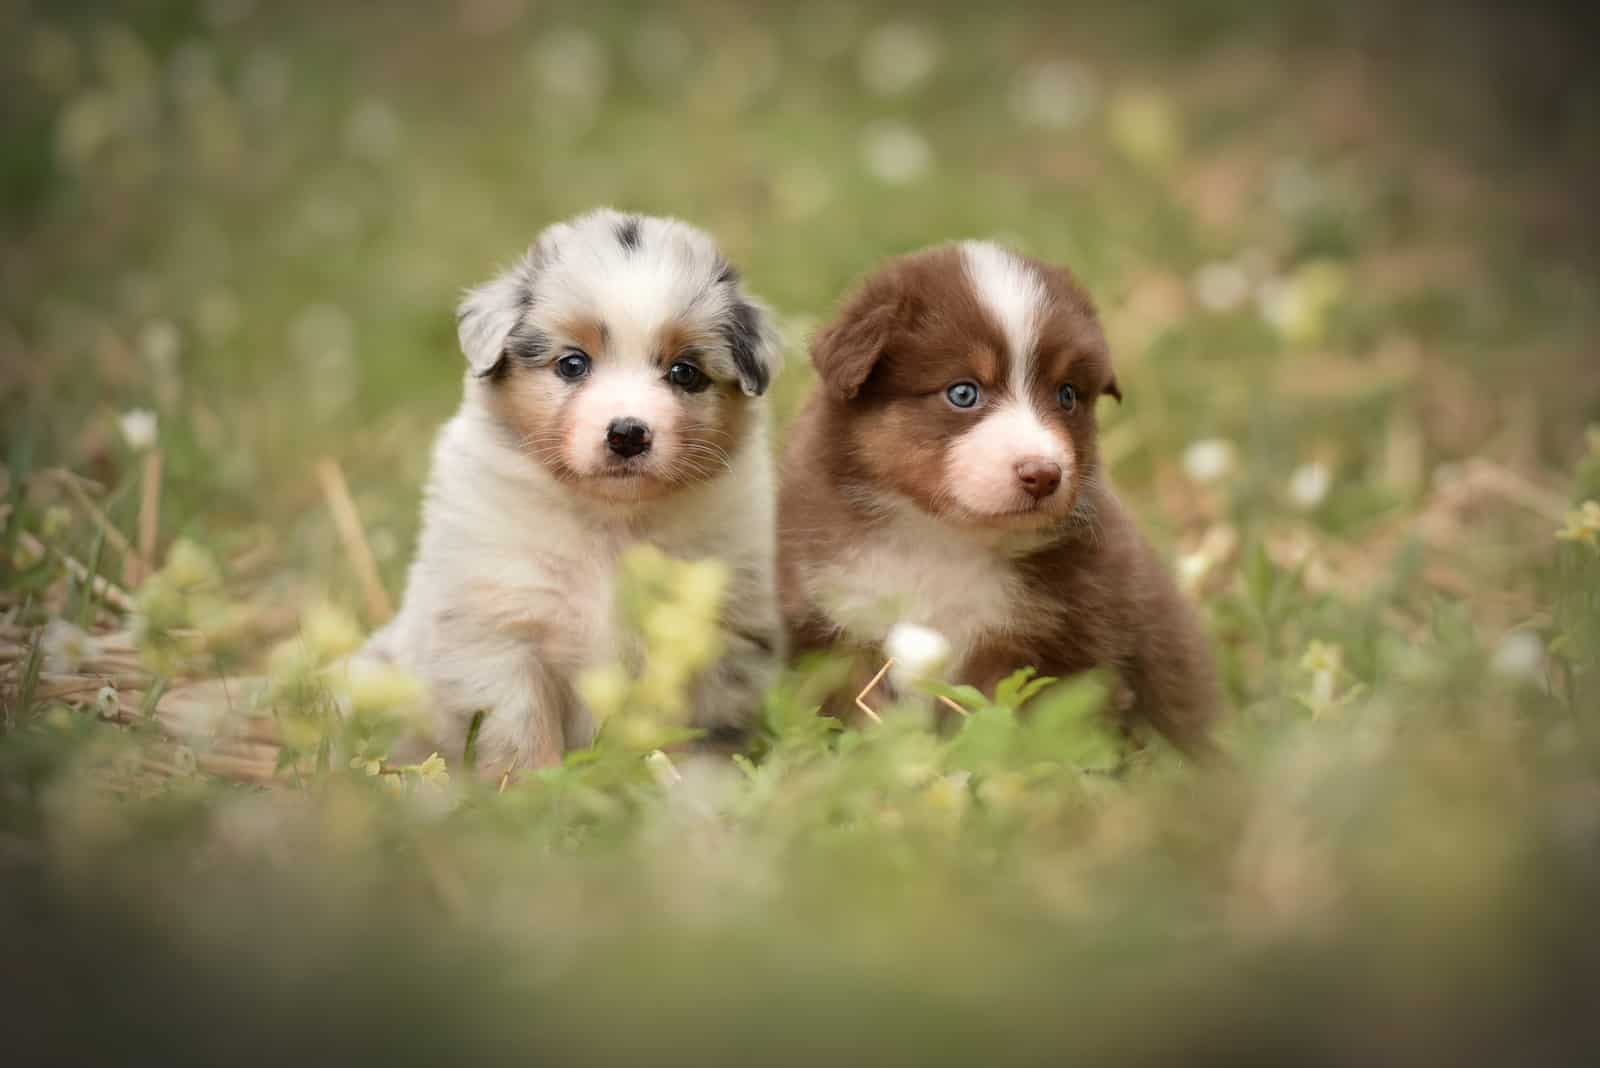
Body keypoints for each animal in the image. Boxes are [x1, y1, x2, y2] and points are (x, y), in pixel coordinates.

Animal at [364, 211, 787, 777]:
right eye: (572, 364)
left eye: (684, 373)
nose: (628, 433)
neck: (609, 522)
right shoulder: (500, 631)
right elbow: (519, 732)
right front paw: (534, 790)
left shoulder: (713, 631)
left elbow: (698, 733)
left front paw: (692, 786)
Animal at [780, 244, 1216, 754]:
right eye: (963, 392)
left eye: (1067, 395)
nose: (1044, 475)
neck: (940, 539)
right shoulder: (832, 623)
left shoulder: (1052, 640)